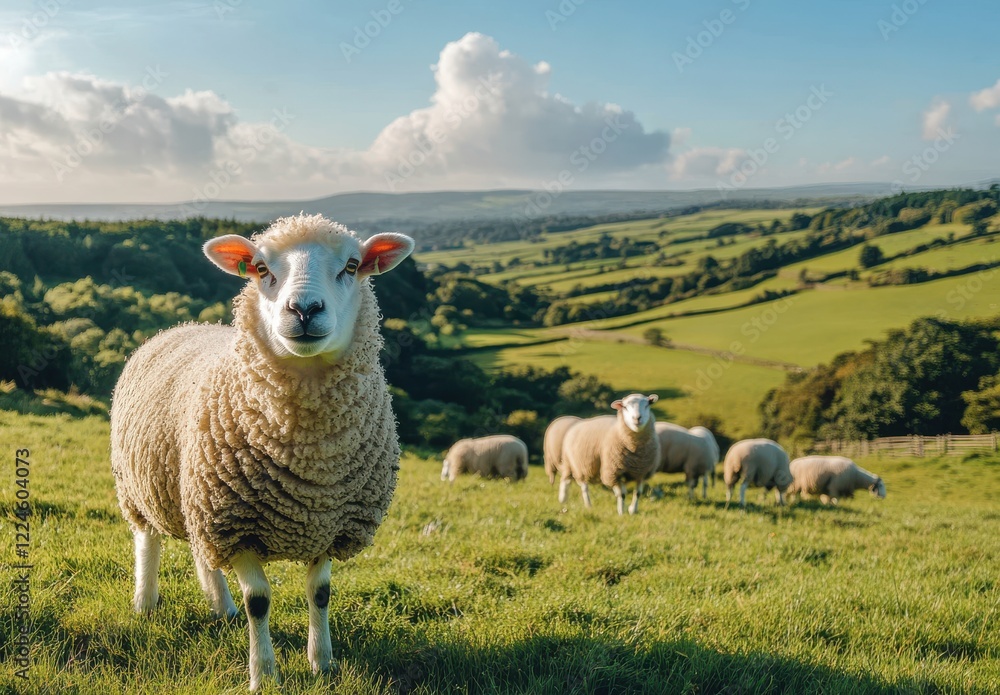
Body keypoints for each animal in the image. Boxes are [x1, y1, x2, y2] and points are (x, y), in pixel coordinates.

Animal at [110, 214, 414, 691]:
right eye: (261, 269)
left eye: (351, 265)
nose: (304, 310)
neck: (310, 465)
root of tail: (179, 326)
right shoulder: (238, 526)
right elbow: (260, 601)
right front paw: (264, 674)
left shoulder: (326, 523)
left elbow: (320, 594)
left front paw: (322, 662)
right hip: (141, 486)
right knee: (147, 541)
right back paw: (145, 602)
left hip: (198, 501)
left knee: (203, 554)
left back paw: (221, 606)